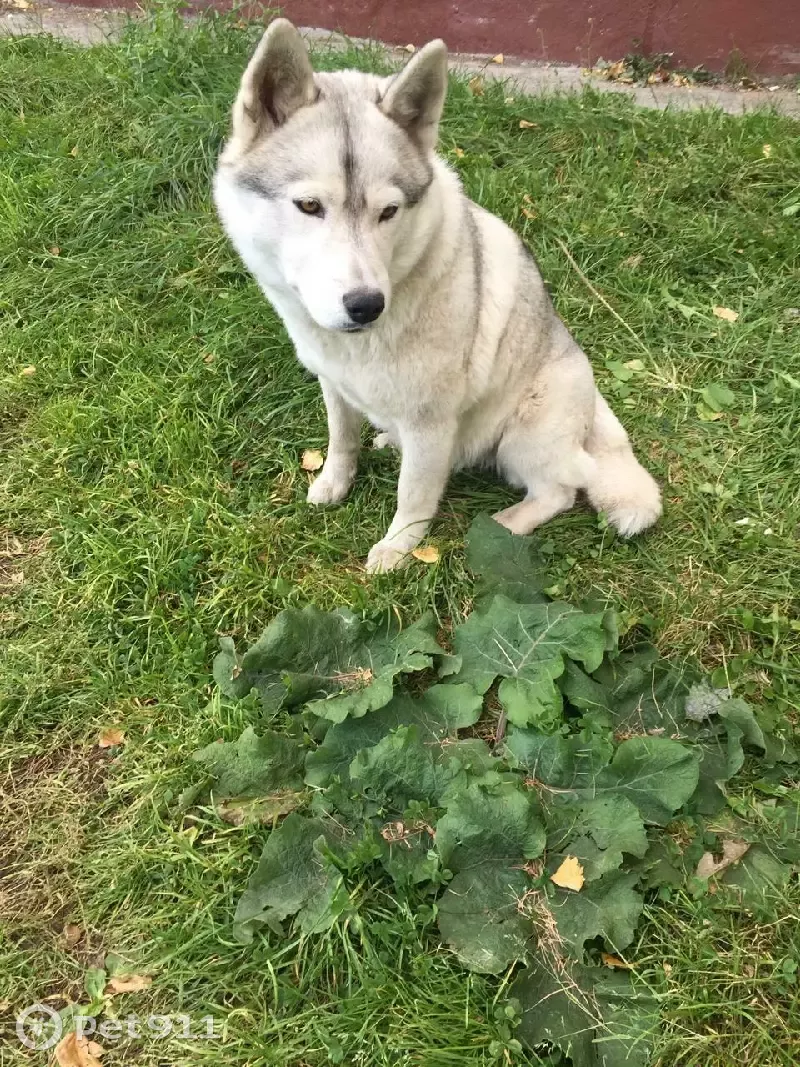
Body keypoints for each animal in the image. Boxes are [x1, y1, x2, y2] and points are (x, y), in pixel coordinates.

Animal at [214, 18, 665, 567]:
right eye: (308, 205)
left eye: (389, 212)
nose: (366, 305)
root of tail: (594, 400)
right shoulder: (335, 387)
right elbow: (342, 441)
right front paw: (334, 484)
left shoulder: (431, 424)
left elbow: (414, 495)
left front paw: (399, 550)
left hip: (523, 437)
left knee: (560, 489)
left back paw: (508, 523)